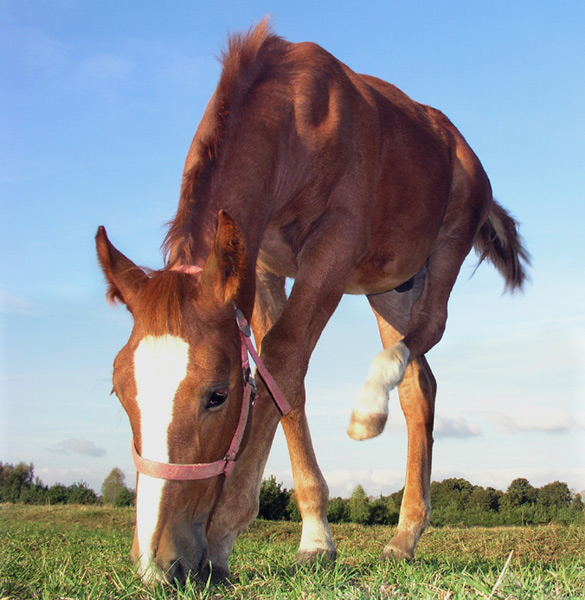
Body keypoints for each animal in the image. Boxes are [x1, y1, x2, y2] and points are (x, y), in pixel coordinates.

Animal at [94, 19, 524, 584]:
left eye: (218, 395)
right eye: (121, 391)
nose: (159, 562)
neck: (295, 119)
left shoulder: (331, 251)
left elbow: (283, 357)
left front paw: (222, 536)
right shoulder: (260, 267)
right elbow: (284, 382)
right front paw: (316, 537)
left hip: (445, 249)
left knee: (430, 329)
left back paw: (369, 410)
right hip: (390, 287)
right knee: (420, 385)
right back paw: (404, 535)